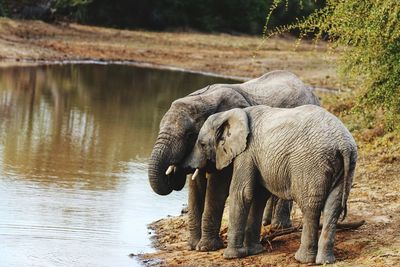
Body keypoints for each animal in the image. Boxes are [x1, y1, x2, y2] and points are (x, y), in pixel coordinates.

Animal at [148, 70, 320, 252]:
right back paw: (267, 223)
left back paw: (279, 227)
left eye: (189, 135)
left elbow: (217, 187)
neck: (203, 98)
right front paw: (193, 246)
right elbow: (196, 187)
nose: (174, 173)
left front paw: (206, 248)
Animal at [186, 105, 358, 264]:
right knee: (333, 207)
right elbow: (258, 196)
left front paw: (231, 256)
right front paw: (255, 251)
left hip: (311, 165)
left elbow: (242, 193)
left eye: (202, 144)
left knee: (311, 208)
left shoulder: (246, 153)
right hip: (345, 166)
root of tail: (343, 144)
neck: (230, 114)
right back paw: (325, 261)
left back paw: (303, 259)